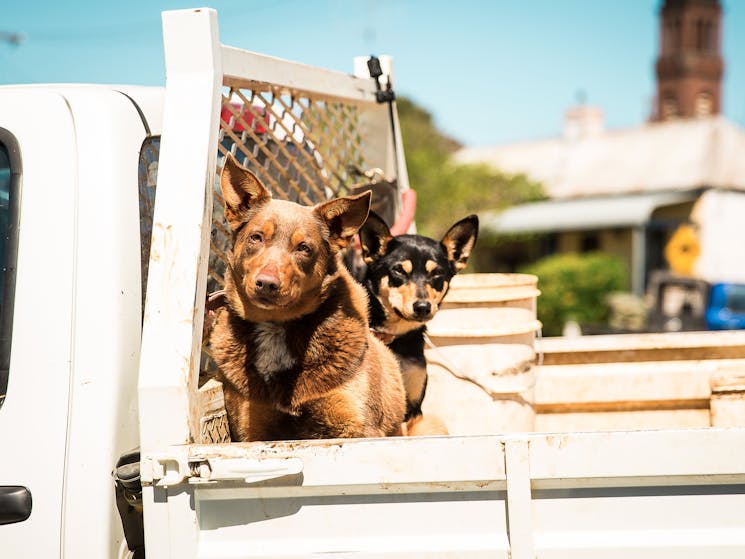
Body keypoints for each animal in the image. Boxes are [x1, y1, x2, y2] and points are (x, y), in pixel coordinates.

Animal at [208, 154, 406, 442]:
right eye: (256, 237)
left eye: (304, 248)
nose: (266, 284)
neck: (276, 325)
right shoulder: (252, 430)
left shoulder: (357, 427)